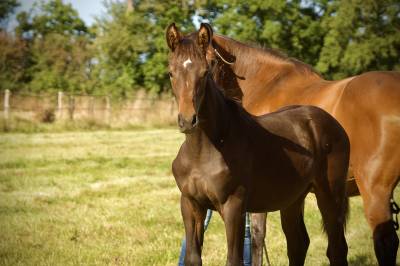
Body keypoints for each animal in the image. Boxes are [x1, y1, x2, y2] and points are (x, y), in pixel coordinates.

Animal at [167, 22, 348, 266]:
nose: (188, 120)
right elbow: (193, 258)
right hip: (292, 199)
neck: (204, 150)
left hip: (330, 196)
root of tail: (331, 122)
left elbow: (235, 258)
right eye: (171, 72)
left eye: (205, 71)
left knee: (337, 248)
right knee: (298, 243)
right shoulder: (190, 205)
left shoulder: (234, 207)